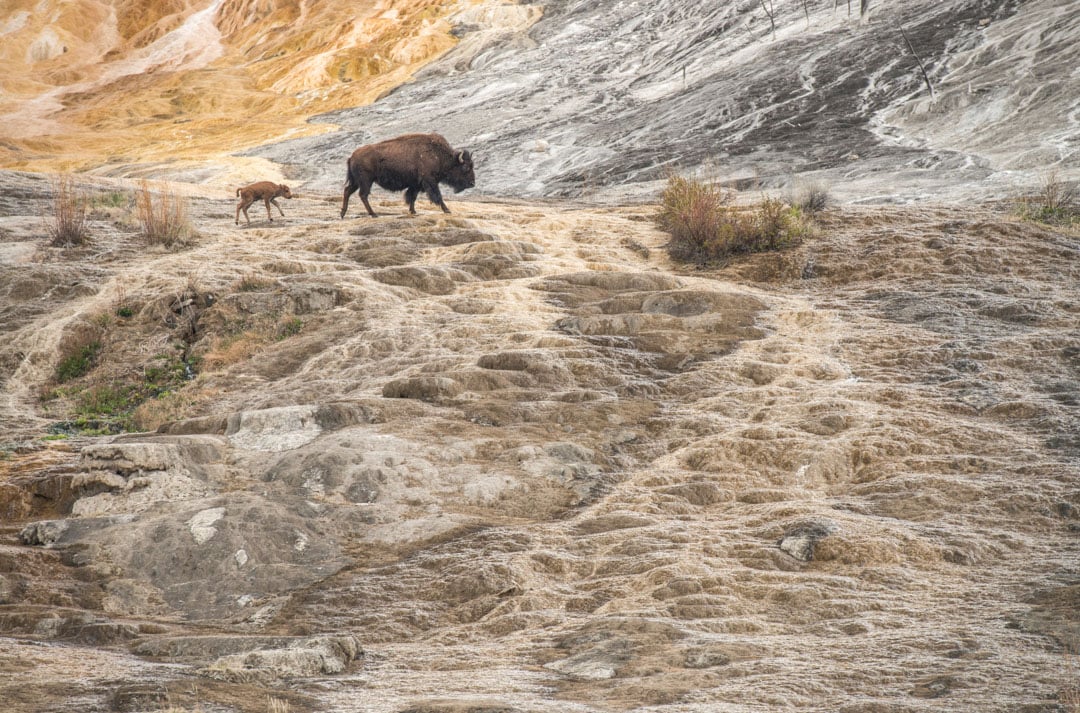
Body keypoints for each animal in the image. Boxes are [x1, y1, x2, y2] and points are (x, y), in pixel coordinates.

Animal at [340, 133, 475, 218]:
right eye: (466, 168)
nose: (472, 183)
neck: (439, 155)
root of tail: (351, 157)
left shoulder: (416, 184)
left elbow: (412, 197)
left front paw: (413, 211)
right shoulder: (429, 181)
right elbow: (437, 196)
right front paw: (447, 210)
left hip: (357, 182)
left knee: (348, 191)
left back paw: (343, 214)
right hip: (366, 181)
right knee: (363, 195)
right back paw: (373, 214)